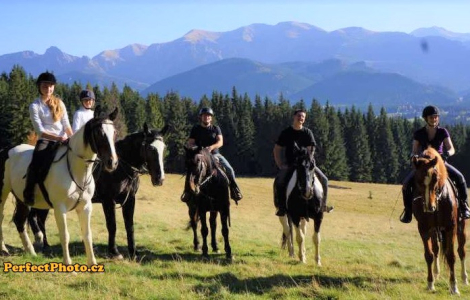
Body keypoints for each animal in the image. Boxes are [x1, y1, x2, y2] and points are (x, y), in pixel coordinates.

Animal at [0, 107, 117, 264]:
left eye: (114, 132)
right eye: (99, 133)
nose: (112, 162)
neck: (75, 168)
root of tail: (6, 150)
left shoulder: (85, 207)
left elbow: (87, 235)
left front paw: (92, 263)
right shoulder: (60, 208)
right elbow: (65, 235)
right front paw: (67, 263)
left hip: (22, 199)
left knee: (19, 221)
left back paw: (31, 252)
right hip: (3, 192)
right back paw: (4, 250)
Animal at [27, 124, 167, 260]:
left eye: (163, 148)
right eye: (151, 148)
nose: (159, 179)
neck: (119, 169)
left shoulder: (130, 199)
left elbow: (130, 226)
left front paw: (133, 253)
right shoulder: (108, 201)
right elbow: (112, 225)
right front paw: (114, 252)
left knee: (39, 219)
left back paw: (44, 244)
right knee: (35, 218)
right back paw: (42, 243)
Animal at [412, 146, 466, 294]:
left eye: (435, 178)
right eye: (418, 180)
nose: (430, 207)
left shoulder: (450, 227)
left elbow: (451, 256)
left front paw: (454, 286)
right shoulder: (424, 228)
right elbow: (429, 255)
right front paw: (430, 283)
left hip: (461, 227)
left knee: (461, 251)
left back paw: (464, 278)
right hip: (434, 231)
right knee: (436, 249)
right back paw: (436, 273)